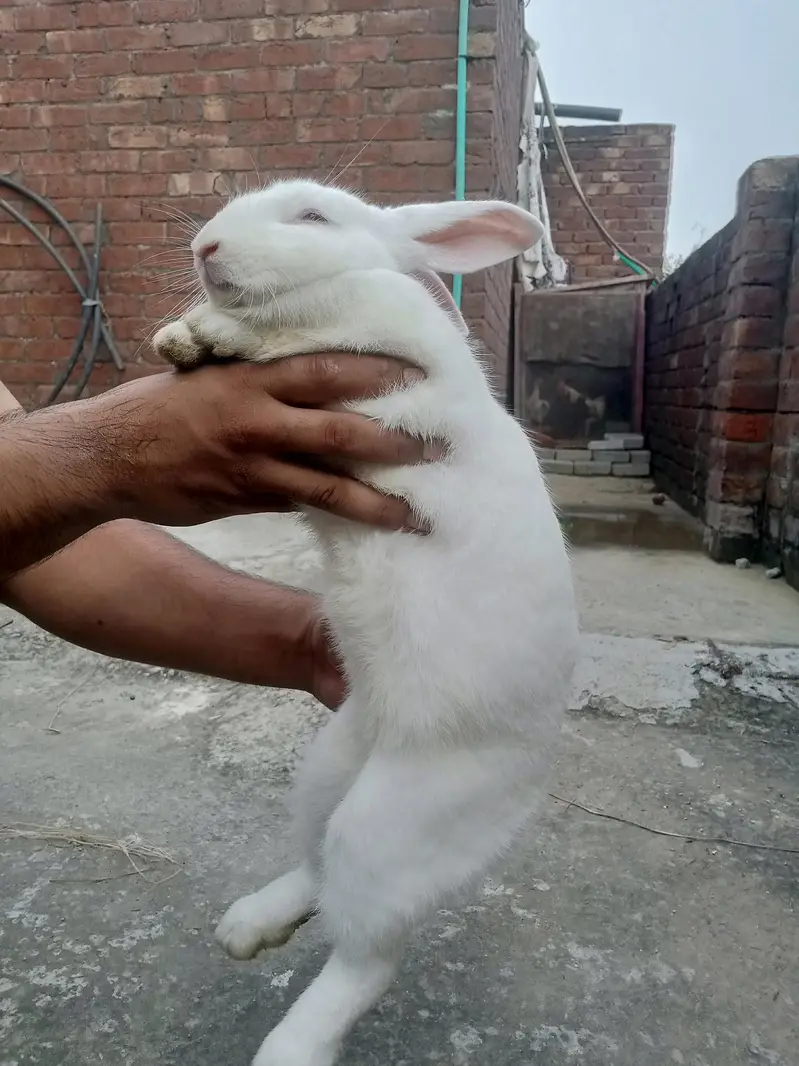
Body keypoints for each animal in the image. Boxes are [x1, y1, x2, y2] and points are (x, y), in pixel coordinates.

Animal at [153, 180, 579, 1066]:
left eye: (312, 217)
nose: (205, 248)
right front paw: (176, 339)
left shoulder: (376, 330)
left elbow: (311, 311)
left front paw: (212, 332)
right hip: (326, 770)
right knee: (318, 874)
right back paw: (249, 927)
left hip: (391, 826)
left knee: (367, 954)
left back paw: (290, 1047)